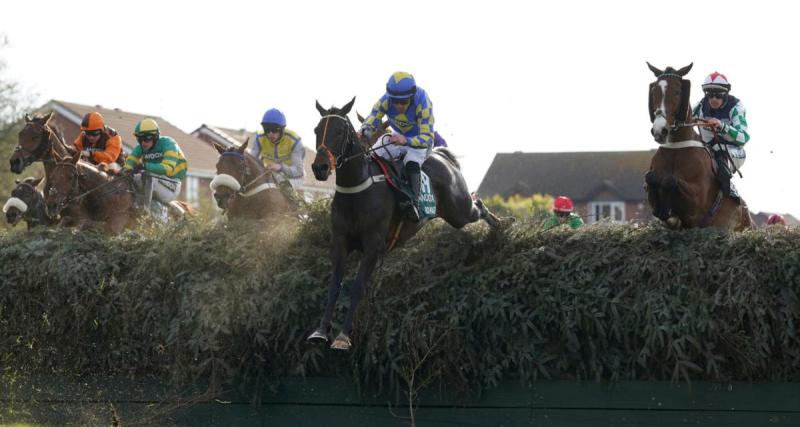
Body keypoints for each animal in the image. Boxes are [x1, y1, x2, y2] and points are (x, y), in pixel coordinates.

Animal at [644, 62, 752, 231]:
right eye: (654, 90)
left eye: (677, 91)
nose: (659, 131)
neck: (677, 148)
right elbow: (651, 177)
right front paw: (669, 216)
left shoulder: (696, 203)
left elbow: (670, 180)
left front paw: (672, 217)